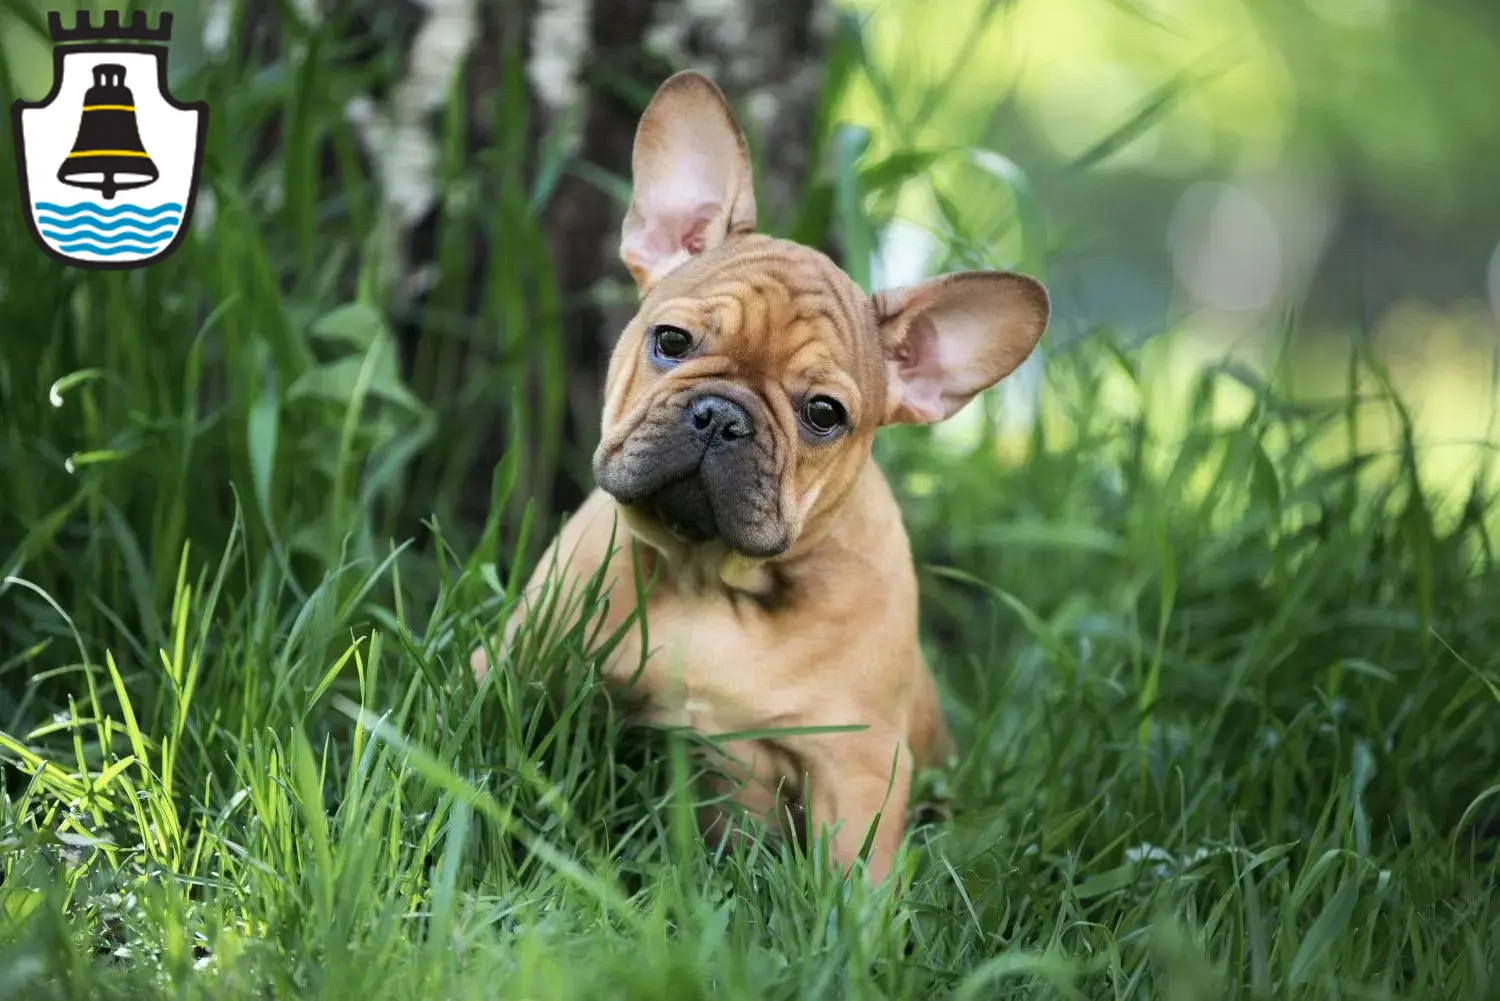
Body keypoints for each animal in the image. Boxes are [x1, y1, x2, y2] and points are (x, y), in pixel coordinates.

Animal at [474, 70, 1050, 882]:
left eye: (823, 413)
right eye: (671, 340)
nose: (721, 416)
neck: (709, 576)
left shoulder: (858, 768)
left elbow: (851, 880)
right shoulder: (514, 662)